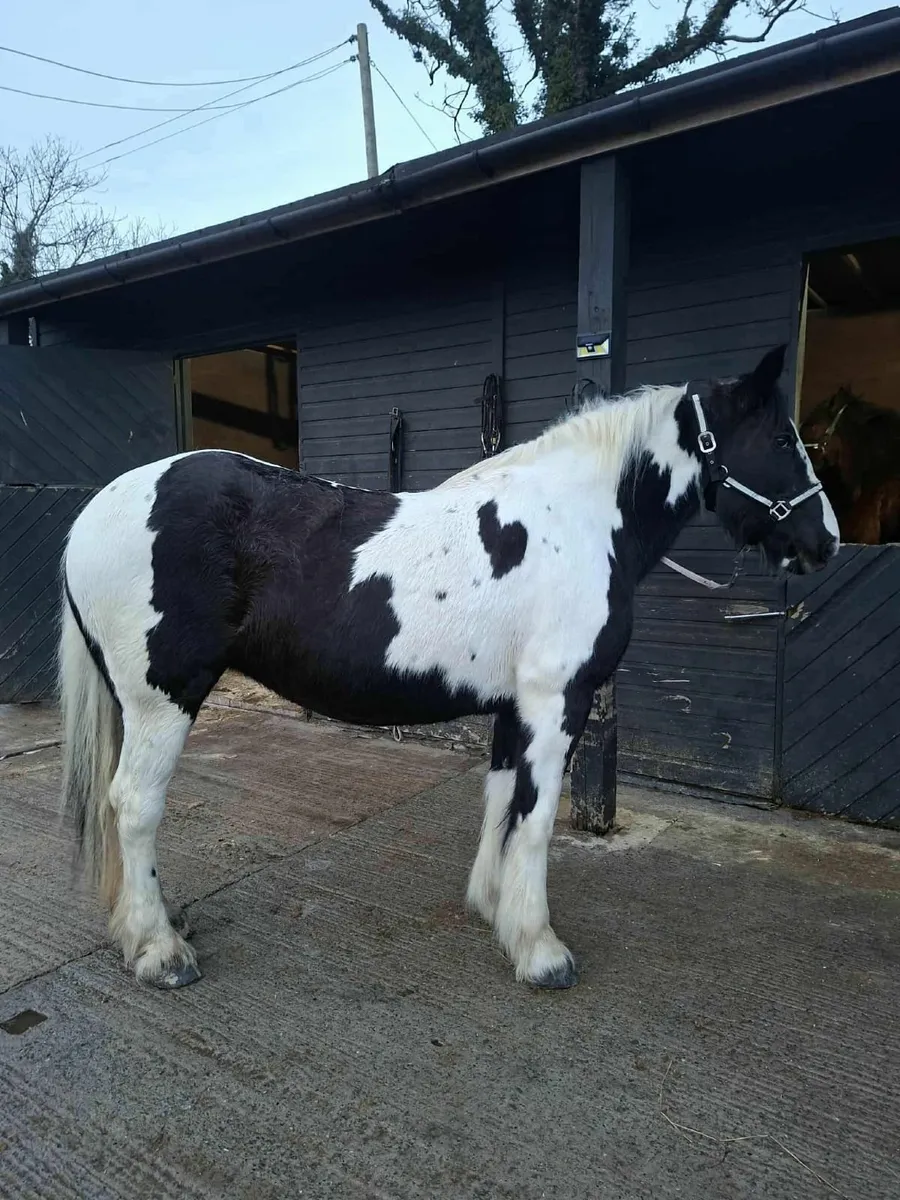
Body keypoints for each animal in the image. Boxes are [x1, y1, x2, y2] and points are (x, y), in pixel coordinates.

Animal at [58, 343, 839, 992]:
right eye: (781, 439)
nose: (824, 540)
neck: (577, 522)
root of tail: (94, 514)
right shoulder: (557, 702)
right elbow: (537, 816)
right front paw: (541, 952)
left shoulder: (515, 707)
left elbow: (501, 804)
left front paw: (496, 912)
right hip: (163, 700)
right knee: (135, 805)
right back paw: (160, 953)